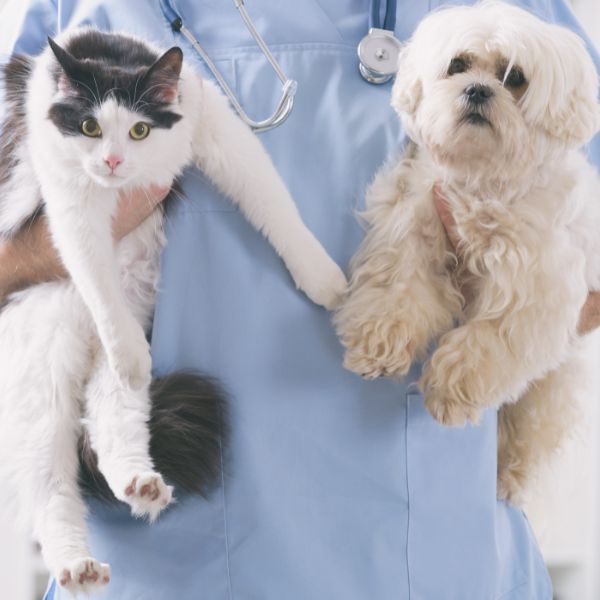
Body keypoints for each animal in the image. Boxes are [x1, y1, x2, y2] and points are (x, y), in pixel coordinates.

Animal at [336, 2, 596, 504]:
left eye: (515, 78)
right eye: (457, 65)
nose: (477, 89)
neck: (483, 180)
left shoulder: (534, 291)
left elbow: (486, 342)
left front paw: (451, 391)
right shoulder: (414, 226)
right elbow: (397, 292)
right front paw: (378, 343)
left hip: (552, 388)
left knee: (530, 430)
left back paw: (508, 475)